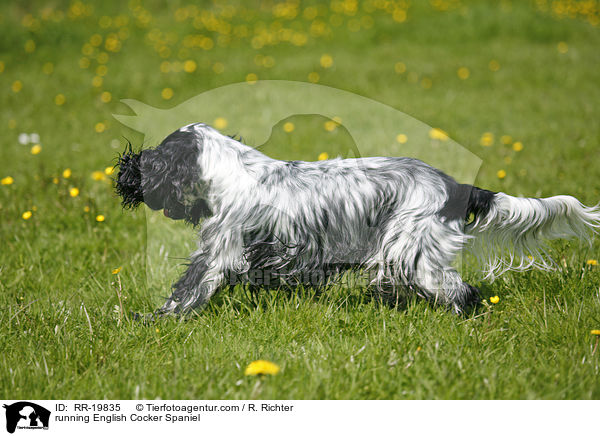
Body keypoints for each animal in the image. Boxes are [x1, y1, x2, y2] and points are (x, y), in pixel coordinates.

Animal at [116, 122, 600, 314]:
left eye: (156, 157)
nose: (125, 169)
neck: (230, 171)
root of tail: (454, 187)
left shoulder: (218, 252)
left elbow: (185, 292)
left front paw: (149, 321)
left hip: (412, 253)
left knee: (463, 293)